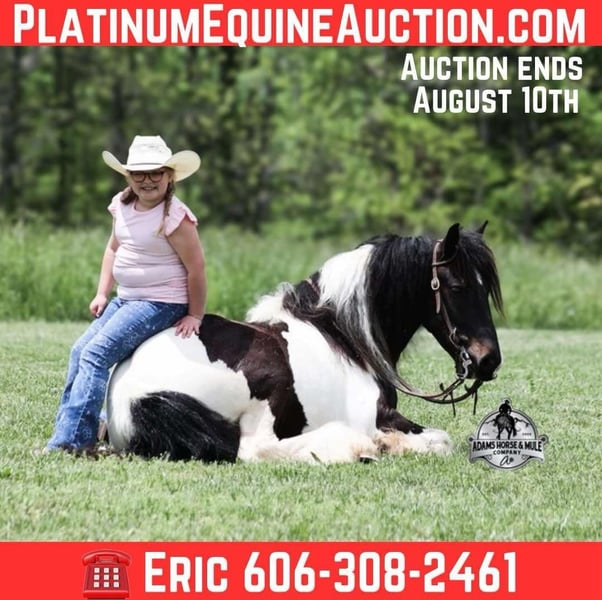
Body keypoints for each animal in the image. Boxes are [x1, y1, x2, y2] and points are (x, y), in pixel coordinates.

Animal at [105, 222, 503, 464]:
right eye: (457, 286)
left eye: (486, 288)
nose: (489, 360)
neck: (343, 335)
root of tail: (129, 394)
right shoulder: (380, 414)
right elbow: (441, 440)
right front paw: (385, 443)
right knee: (255, 449)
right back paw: (354, 446)